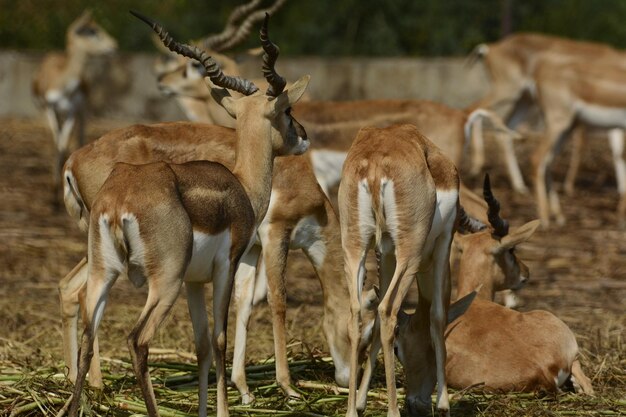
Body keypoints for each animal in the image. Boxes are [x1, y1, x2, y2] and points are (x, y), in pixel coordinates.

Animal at [32, 9, 117, 205]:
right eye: (92, 31)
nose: (113, 45)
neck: (63, 82)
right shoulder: (50, 109)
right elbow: (58, 144)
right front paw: (53, 195)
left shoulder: (73, 109)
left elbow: (64, 144)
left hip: (82, 112)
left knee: (79, 137)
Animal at [336, 124, 458, 416]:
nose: (417, 401)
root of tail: (374, 165)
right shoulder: (444, 242)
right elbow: (438, 316)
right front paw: (444, 403)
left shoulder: (385, 252)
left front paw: (361, 400)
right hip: (409, 254)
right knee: (388, 310)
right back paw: (393, 410)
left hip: (355, 246)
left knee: (357, 313)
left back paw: (351, 410)